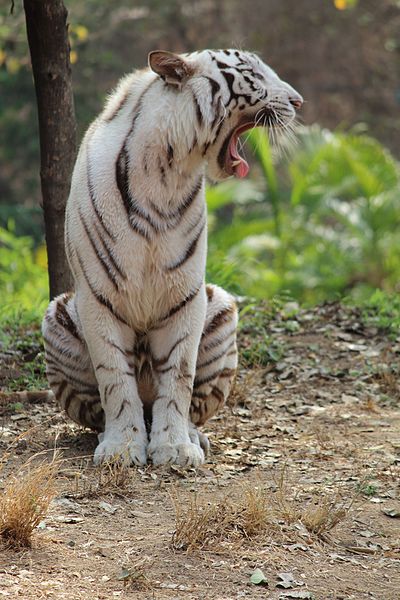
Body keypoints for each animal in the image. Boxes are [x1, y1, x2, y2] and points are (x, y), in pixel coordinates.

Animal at [41, 49, 304, 466]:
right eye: (254, 73)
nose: (298, 102)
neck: (169, 171)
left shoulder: (185, 296)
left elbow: (179, 376)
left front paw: (175, 448)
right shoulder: (98, 298)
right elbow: (115, 380)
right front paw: (122, 449)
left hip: (222, 311)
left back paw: (194, 436)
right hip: (58, 317)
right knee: (103, 409)